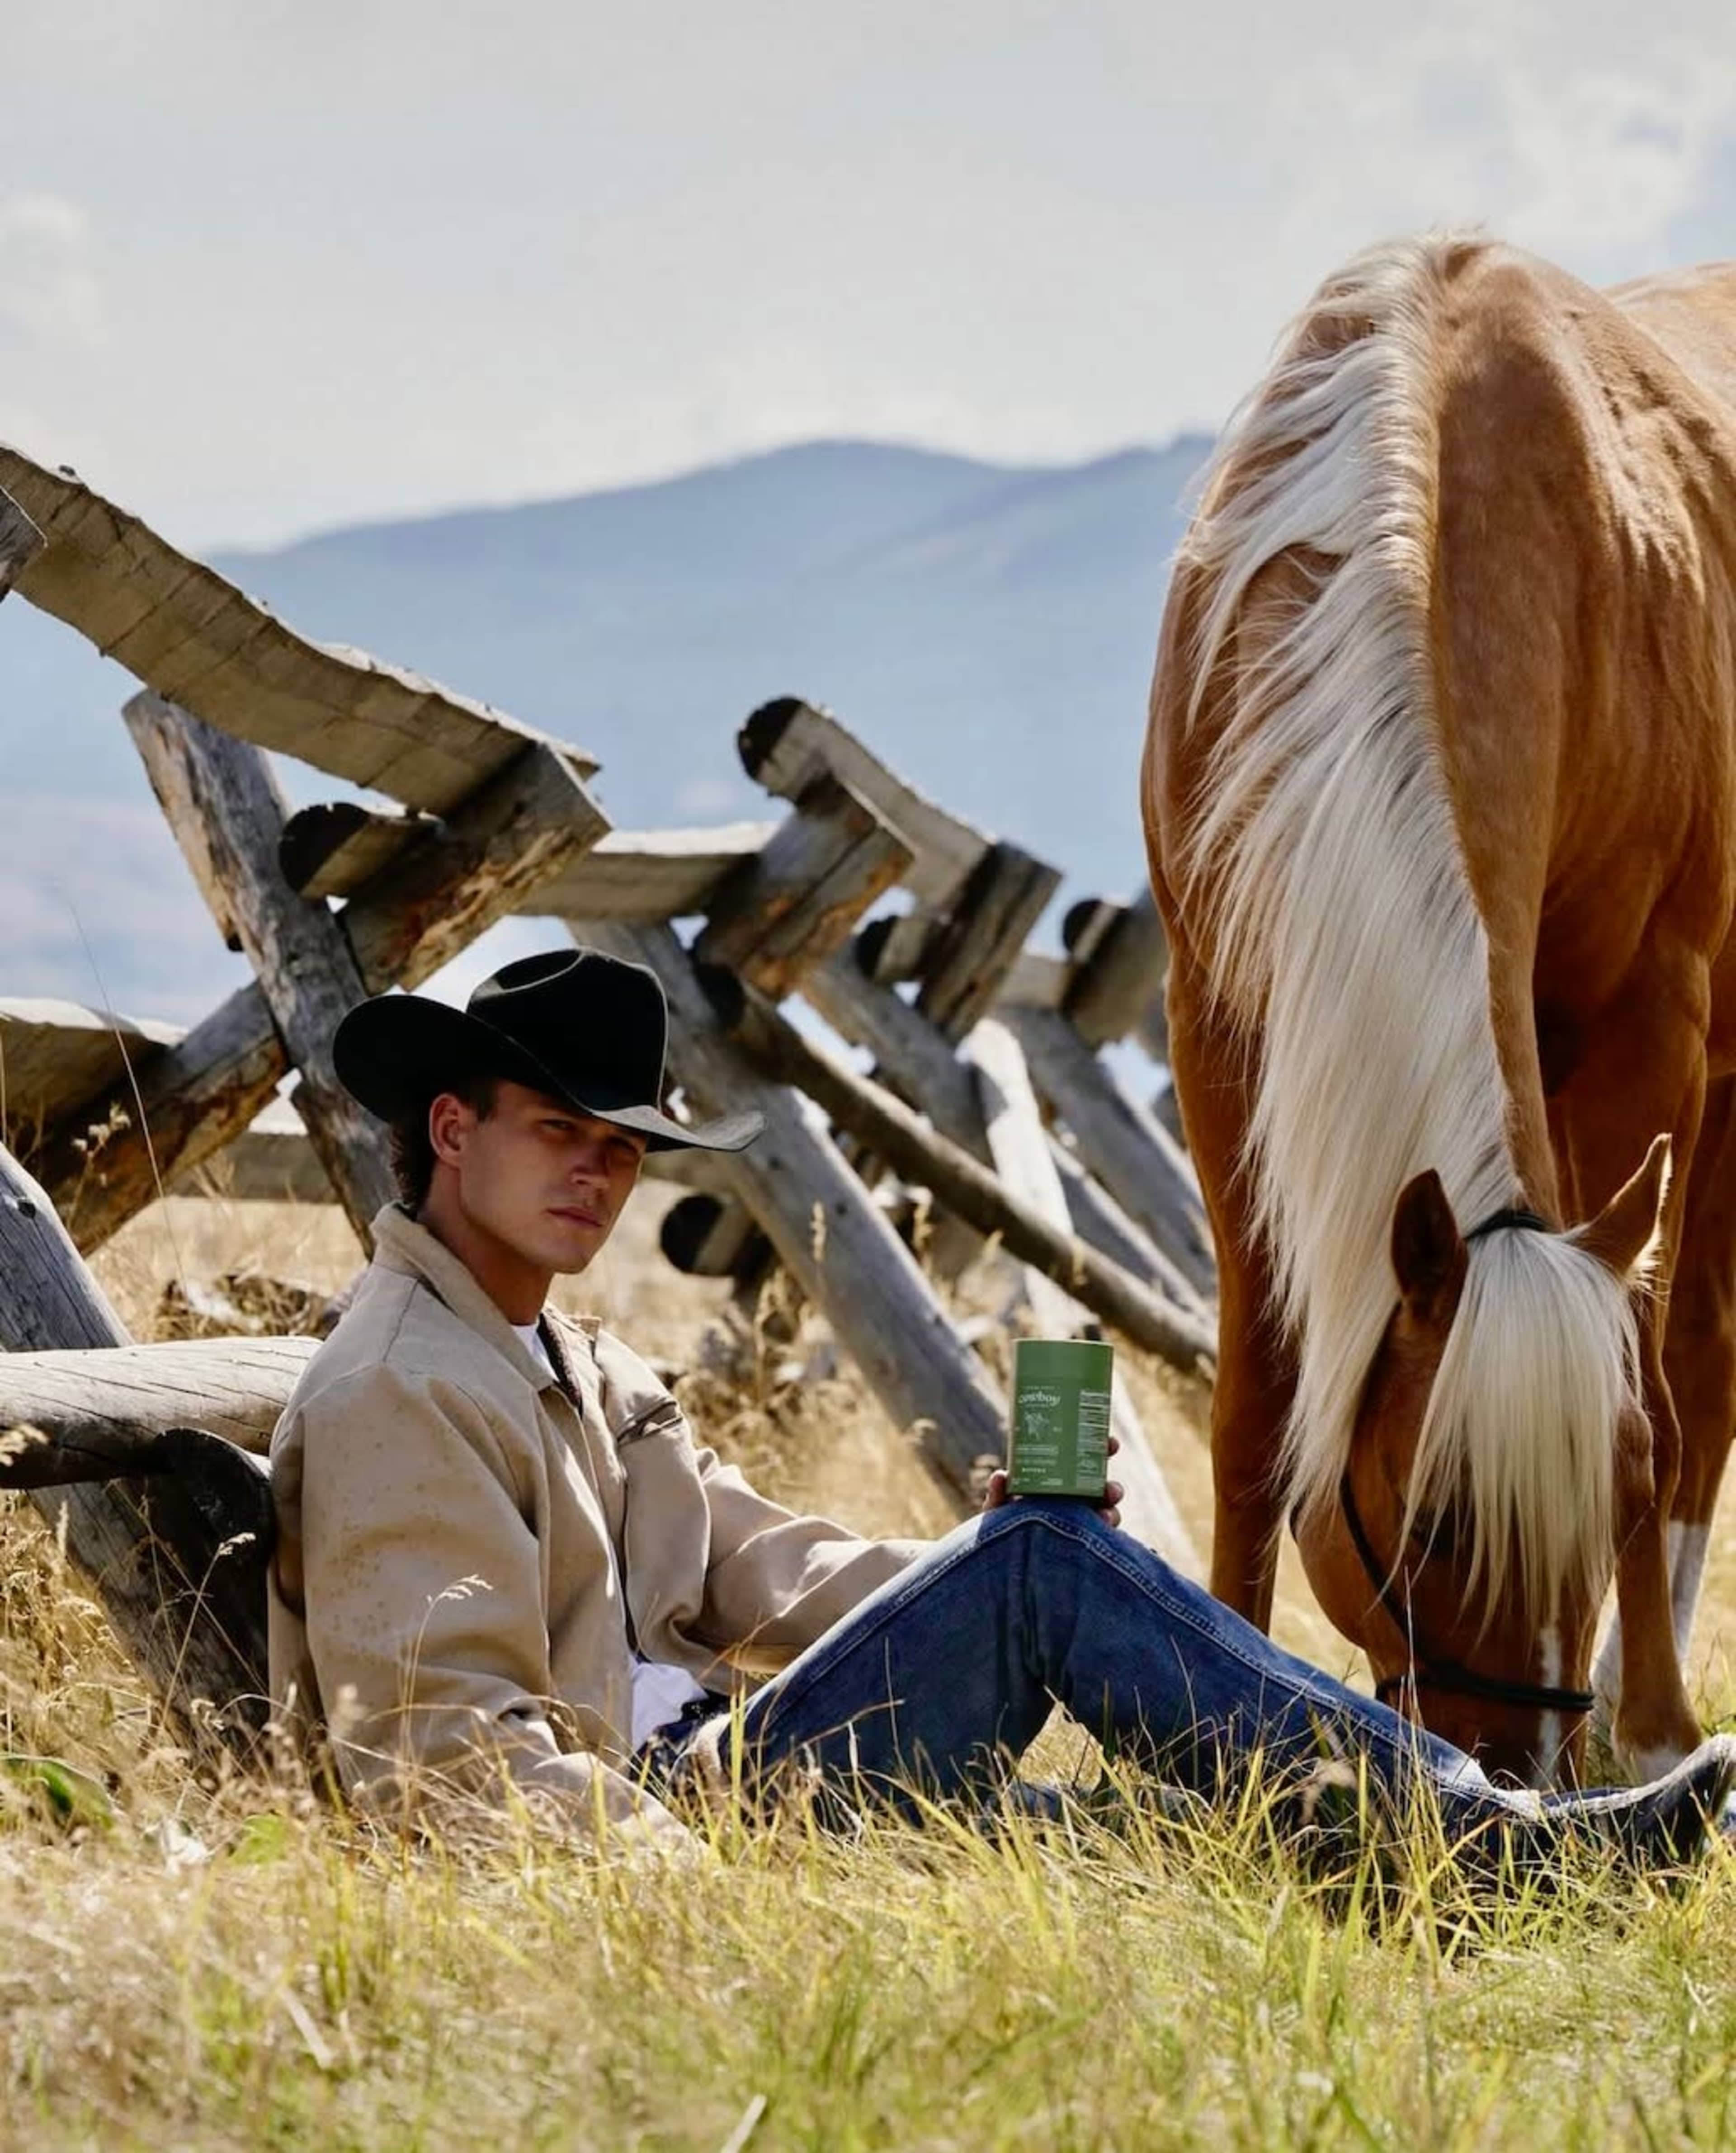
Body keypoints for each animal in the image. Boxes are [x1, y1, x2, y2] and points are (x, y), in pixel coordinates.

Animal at [1142, 235, 1736, 1788]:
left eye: (1604, 1495)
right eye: (1439, 1520)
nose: (1516, 1776)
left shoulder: (1647, 1024)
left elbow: (1658, 1398)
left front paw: (1657, 1728)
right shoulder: (1213, 1025)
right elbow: (1254, 1406)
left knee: (1705, 1366)